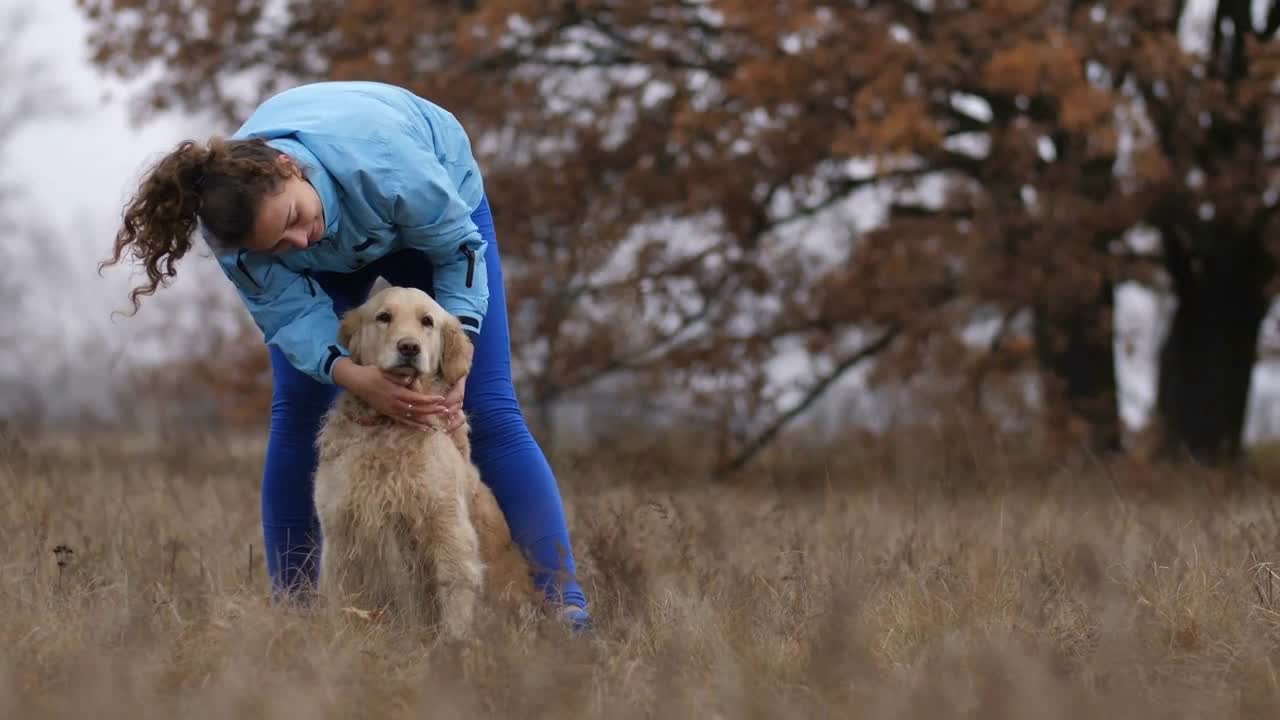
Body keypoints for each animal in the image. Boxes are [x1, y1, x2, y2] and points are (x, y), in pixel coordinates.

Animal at [314, 283, 535, 635]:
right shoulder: (339, 530)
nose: (408, 347)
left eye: (427, 321)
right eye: (384, 317)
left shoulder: (447, 527)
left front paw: (454, 644)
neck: (388, 427)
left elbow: (455, 592)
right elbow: (339, 596)